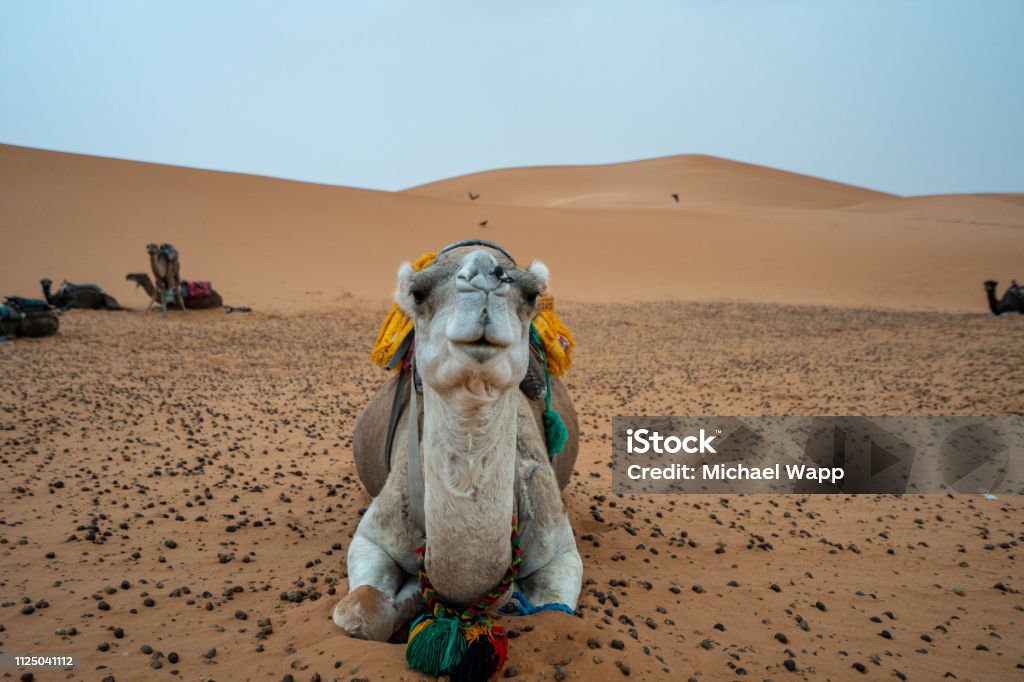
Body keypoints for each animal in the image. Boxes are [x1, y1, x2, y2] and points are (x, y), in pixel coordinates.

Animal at [331, 241, 581, 651]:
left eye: (531, 294)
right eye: (418, 292)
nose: (486, 275)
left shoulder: (559, 550)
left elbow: (553, 615)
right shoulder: (372, 537)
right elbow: (360, 611)